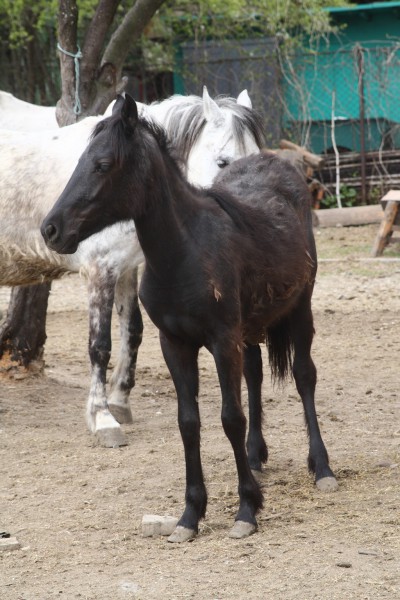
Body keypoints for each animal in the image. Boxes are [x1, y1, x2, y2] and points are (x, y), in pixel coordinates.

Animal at [0, 88, 266, 446]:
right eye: (223, 161)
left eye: (258, 155)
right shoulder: (100, 271)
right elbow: (99, 346)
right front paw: (103, 420)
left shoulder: (125, 269)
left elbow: (133, 331)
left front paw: (119, 402)